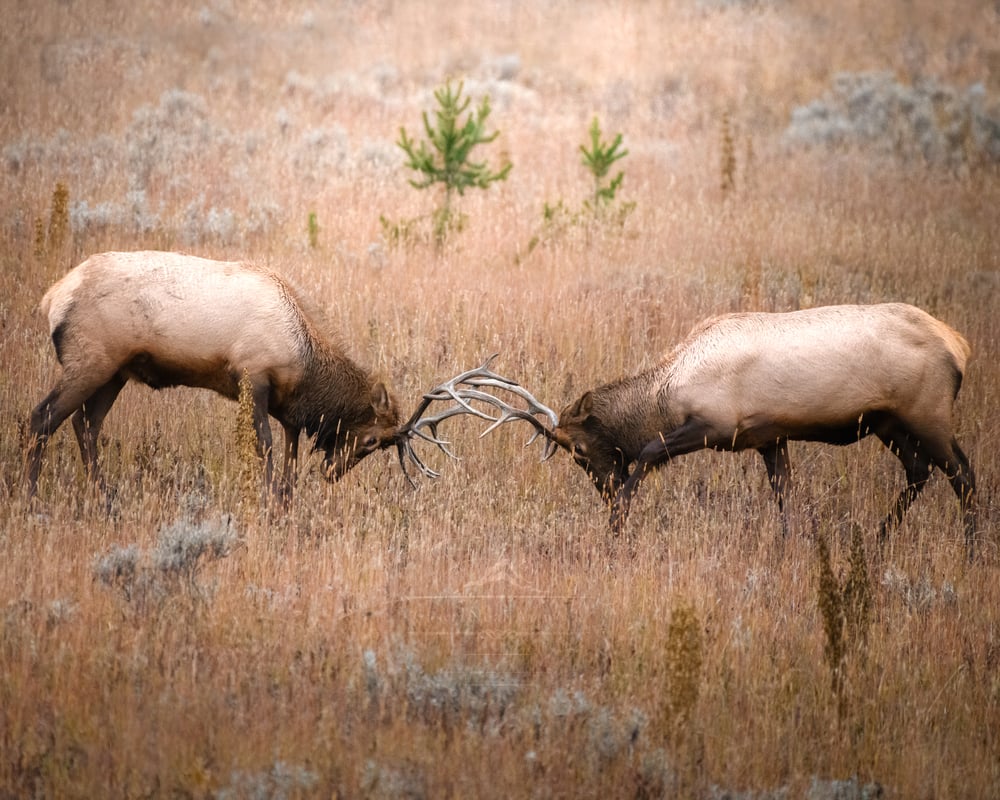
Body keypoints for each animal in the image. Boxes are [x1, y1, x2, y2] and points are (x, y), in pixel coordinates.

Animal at [22, 250, 517, 503]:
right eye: (374, 439)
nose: (333, 472)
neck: (304, 364)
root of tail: (51, 298)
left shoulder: (287, 409)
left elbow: (291, 456)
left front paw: (284, 500)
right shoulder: (252, 376)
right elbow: (264, 448)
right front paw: (264, 501)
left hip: (115, 372)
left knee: (86, 425)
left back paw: (107, 497)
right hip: (90, 361)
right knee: (41, 419)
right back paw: (31, 498)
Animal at [441, 304, 978, 559]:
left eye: (577, 450)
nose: (605, 489)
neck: (667, 392)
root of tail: (960, 346)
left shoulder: (715, 425)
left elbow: (649, 452)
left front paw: (618, 523)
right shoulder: (769, 438)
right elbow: (784, 494)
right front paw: (791, 544)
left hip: (926, 414)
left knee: (963, 474)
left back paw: (972, 552)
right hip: (889, 423)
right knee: (920, 471)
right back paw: (879, 538)